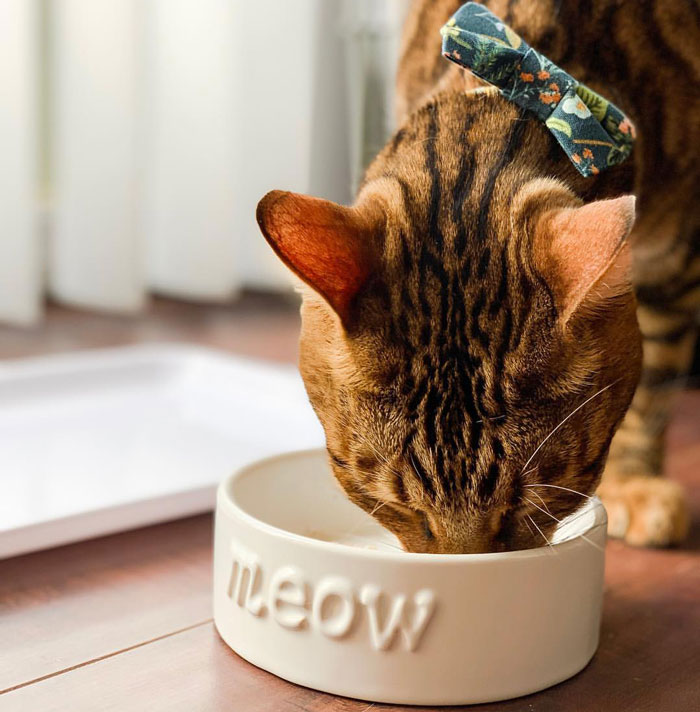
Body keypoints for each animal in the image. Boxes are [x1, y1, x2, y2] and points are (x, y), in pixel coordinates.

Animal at [258, 0, 700, 552]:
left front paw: (632, 483)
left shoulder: (677, 266)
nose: (462, 564)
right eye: (402, 507)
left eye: (523, 506)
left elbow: (654, 387)